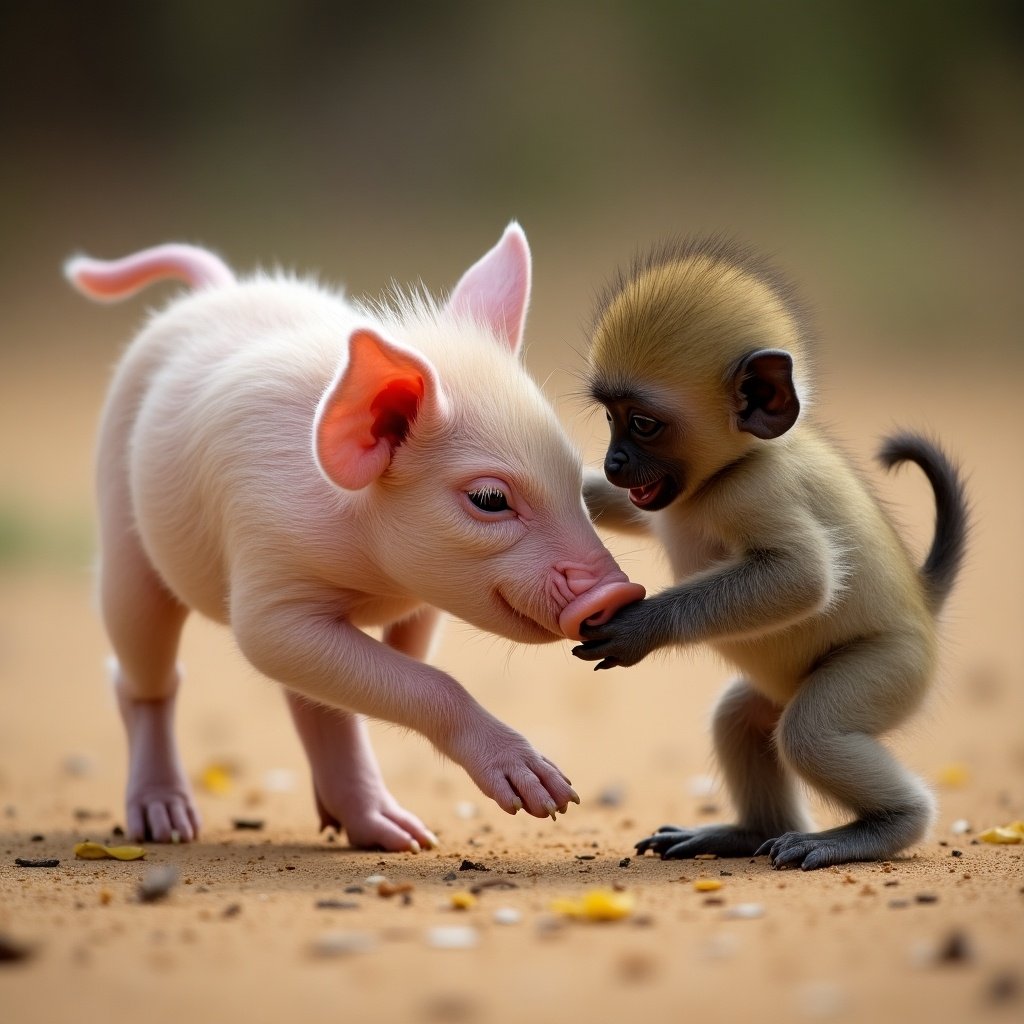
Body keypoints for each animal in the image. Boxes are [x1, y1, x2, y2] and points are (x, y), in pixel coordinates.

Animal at [577, 235, 966, 868]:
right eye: (609, 418)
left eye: (642, 423)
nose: (613, 461)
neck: (725, 472)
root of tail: (926, 607)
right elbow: (619, 506)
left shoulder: (756, 489)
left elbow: (803, 578)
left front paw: (639, 627)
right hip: (773, 694)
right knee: (738, 717)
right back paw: (745, 833)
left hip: (895, 667)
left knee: (809, 733)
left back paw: (880, 829)